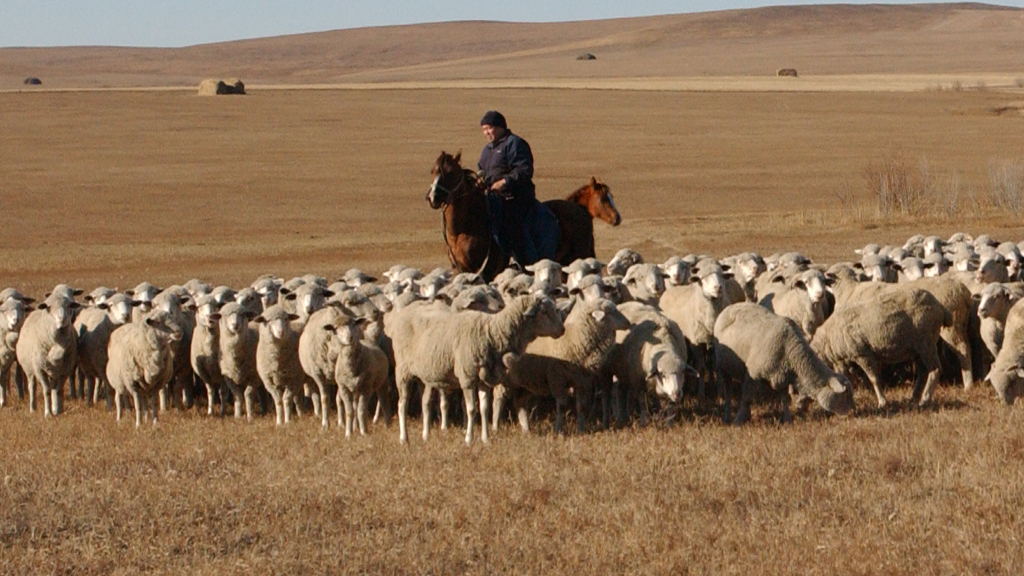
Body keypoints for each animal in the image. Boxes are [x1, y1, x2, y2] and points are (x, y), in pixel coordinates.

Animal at [391, 293, 569, 440]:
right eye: (544, 312)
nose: (562, 330)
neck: (491, 332)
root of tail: (407, 309)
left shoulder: (486, 378)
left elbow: (484, 409)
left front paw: (485, 439)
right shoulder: (467, 377)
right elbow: (472, 409)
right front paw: (469, 439)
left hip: (426, 375)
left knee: (425, 403)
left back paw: (425, 436)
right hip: (402, 371)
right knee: (402, 404)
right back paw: (404, 438)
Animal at [712, 305, 856, 422]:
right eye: (845, 395)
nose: (852, 414)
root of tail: (728, 307)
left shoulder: (783, 376)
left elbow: (784, 399)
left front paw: (787, 420)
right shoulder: (753, 374)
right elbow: (747, 397)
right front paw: (739, 419)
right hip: (722, 367)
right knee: (728, 391)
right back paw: (727, 416)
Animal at [811, 286, 954, 407]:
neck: (827, 338)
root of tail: (939, 306)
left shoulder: (863, 354)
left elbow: (873, 379)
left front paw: (882, 402)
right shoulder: (843, 360)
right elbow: (846, 380)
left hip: (926, 342)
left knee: (935, 370)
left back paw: (925, 399)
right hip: (917, 348)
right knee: (923, 372)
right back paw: (913, 398)